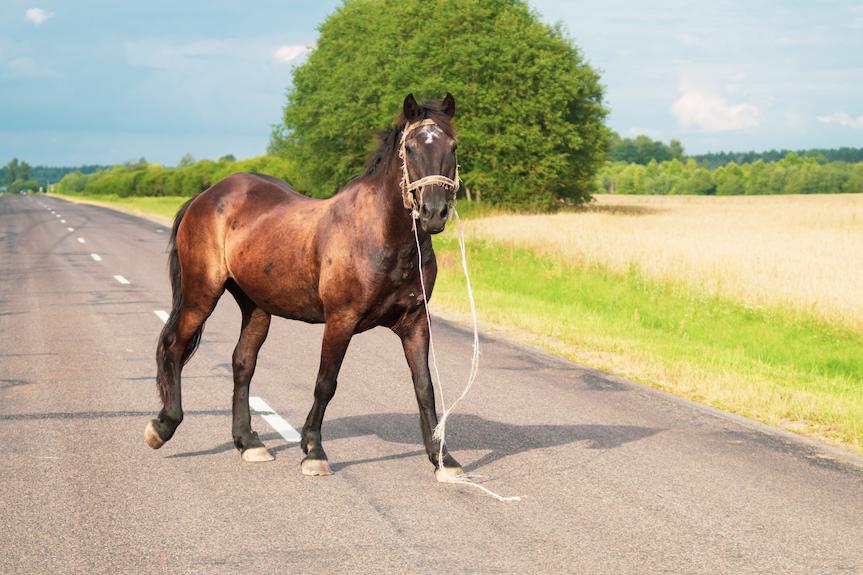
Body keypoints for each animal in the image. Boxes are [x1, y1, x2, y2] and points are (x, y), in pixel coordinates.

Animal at [145, 93, 466, 482]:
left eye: (452, 146)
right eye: (411, 147)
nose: (434, 212)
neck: (381, 235)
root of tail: (206, 195)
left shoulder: (415, 322)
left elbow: (425, 388)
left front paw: (443, 459)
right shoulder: (341, 320)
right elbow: (326, 383)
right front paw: (313, 450)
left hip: (256, 306)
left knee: (242, 364)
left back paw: (248, 442)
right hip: (200, 294)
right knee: (175, 346)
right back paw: (163, 426)